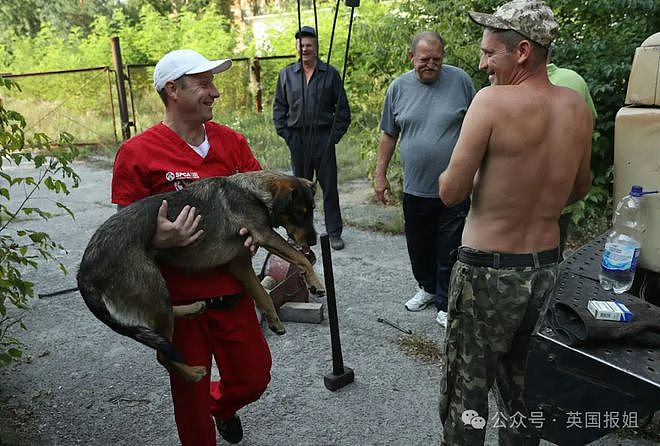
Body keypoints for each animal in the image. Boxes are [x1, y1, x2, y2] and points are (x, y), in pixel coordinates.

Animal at [77, 172, 324, 382]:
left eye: (312, 210)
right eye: (299, 213)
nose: (313, 241)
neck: (254, 192)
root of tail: (85, 269)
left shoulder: (240, 265)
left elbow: (262, 293)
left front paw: (274, 320)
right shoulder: (265, 236)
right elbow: (299, 258)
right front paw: (315, 283)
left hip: (156, 287)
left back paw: (191, 308)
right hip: (152, 285)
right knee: (162, 354)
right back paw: (192, 373)